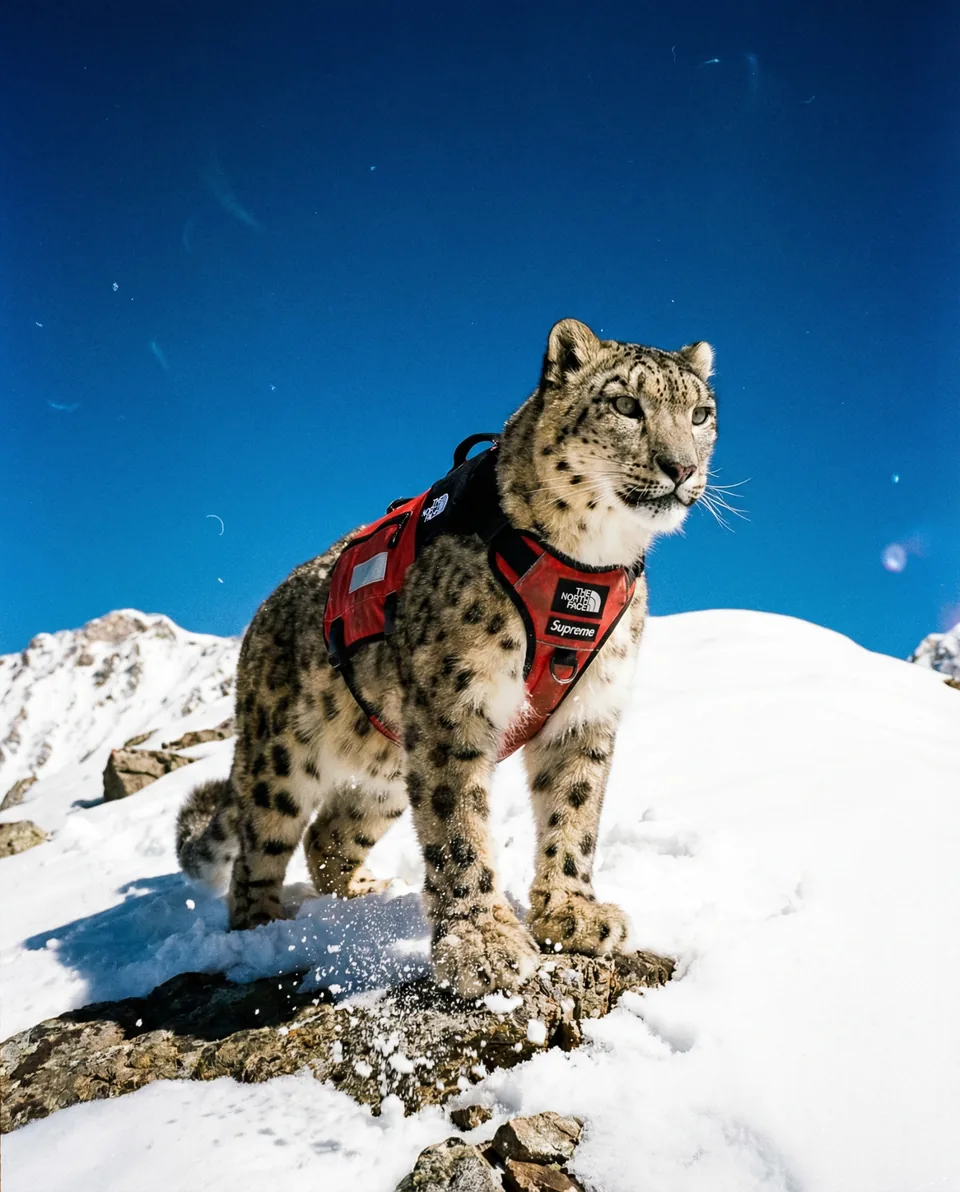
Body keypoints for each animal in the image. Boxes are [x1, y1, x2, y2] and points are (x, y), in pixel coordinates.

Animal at [176, 317, 717, 999]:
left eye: (701, 413)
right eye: (625, 405)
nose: (682, 467)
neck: (587, 564)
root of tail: (258, 620)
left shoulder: (588, 709)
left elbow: (574, 812)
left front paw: (572, 914)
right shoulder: (455, 701)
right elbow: (458, 822)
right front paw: (483, 944)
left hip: (386, 763)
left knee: (330, 834)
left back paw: (362, 892)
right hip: (282, 753)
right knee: (259, 846)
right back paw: (264, 931)